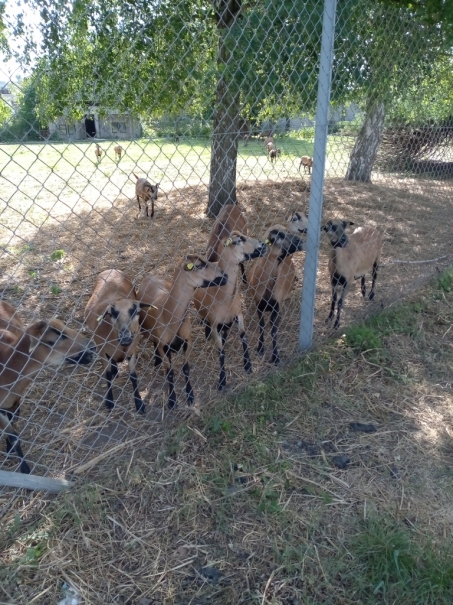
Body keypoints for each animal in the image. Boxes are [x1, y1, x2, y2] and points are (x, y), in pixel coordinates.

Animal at [0, 300, 94, 472]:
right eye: (53, 340)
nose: (92, 347)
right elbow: (14, 435)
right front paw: (25, 469)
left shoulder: (13, 400)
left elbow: (14, 426)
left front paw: (11, 452)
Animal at [84, 270, 155, 416]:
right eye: (112, 314)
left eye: (136, 312)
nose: (126, 338)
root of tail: (111, 269)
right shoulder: (102, 351)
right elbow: (107, 375)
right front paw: (109, 401)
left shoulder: (132, 351)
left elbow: (133, 376)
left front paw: (139, 403)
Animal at [137, 252, 228, 408]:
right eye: (199, 266)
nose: (225, 276)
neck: (168, 313)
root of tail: (151, 276)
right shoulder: (163, 346)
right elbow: (170, 372)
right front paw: (172, 400)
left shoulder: (187, 341)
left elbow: (186, 368)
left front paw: (190, 396)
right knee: (154, 343)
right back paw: (156, 362)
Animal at [192, 231, 266, 392]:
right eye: (237, 241)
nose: (263, 245)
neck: (222, 296)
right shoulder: (215, 324)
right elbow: (221, 352)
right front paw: (222, 381)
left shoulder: (239, 314)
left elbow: (243, 336)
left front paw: (248, 366)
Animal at [245, 226, 306, 364]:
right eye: (280, 237)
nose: (300, 241)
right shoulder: (259, 305)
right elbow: (262, 326)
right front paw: (260, 348)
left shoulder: (276, 306)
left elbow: (274, 331)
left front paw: (275, 357)